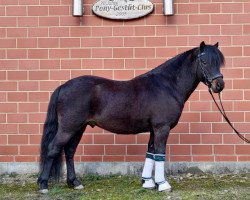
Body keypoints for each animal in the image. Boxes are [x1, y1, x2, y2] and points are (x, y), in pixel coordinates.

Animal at [37, 41, 225, 193]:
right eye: (204, 61)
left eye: (220, 62)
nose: (219, 85)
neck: (167, 85)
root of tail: (63, 86)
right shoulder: (162, 128)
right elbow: (160, 153)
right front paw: (163, 184)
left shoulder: (153, 129)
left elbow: (151, 152)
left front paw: (148, 183)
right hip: (68, 127)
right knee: (53, 149)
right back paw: (43, 185)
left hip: (79, 128)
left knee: (69, 151)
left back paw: (75, 183)